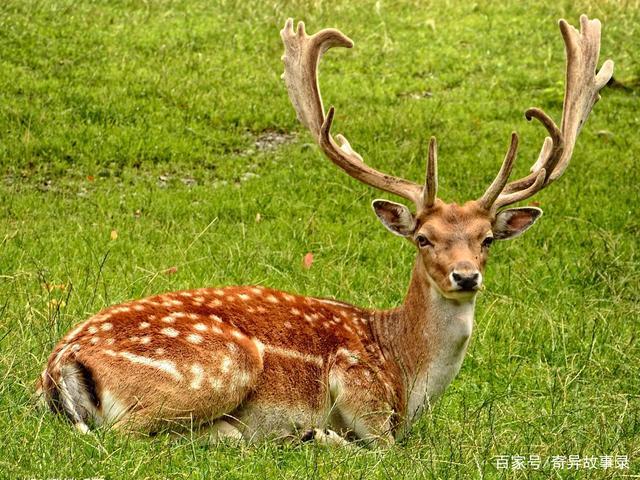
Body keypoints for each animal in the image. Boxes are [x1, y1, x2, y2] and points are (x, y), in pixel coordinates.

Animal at [36, 15, 616, 450]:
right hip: (221, 365)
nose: (465, 276)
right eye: (423, 238)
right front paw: (322, 435)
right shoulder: (359, 385)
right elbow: (383, 447)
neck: (407, 372)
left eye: (487, 239)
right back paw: (266, 435)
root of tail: (59, 364)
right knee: (128, 434)